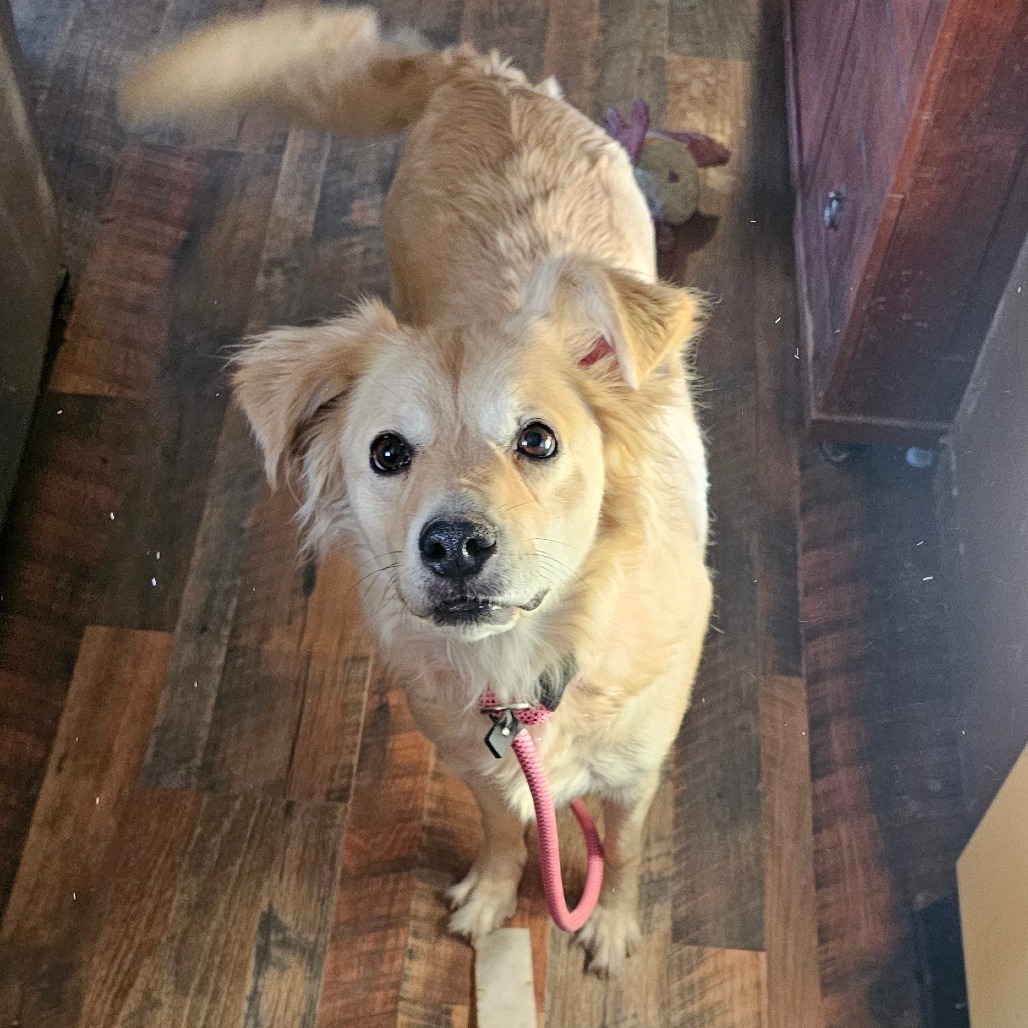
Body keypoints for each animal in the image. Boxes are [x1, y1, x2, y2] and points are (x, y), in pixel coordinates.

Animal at [122, 6, 715, 970]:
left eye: (539, 440)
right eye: (387, 453)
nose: (454, 546)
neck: (527, 673)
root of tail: (484, 76)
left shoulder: (636, 774)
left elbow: (623, 851)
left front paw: (615, 926)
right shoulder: (477, 761)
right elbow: (506, 829)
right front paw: (493, 893)